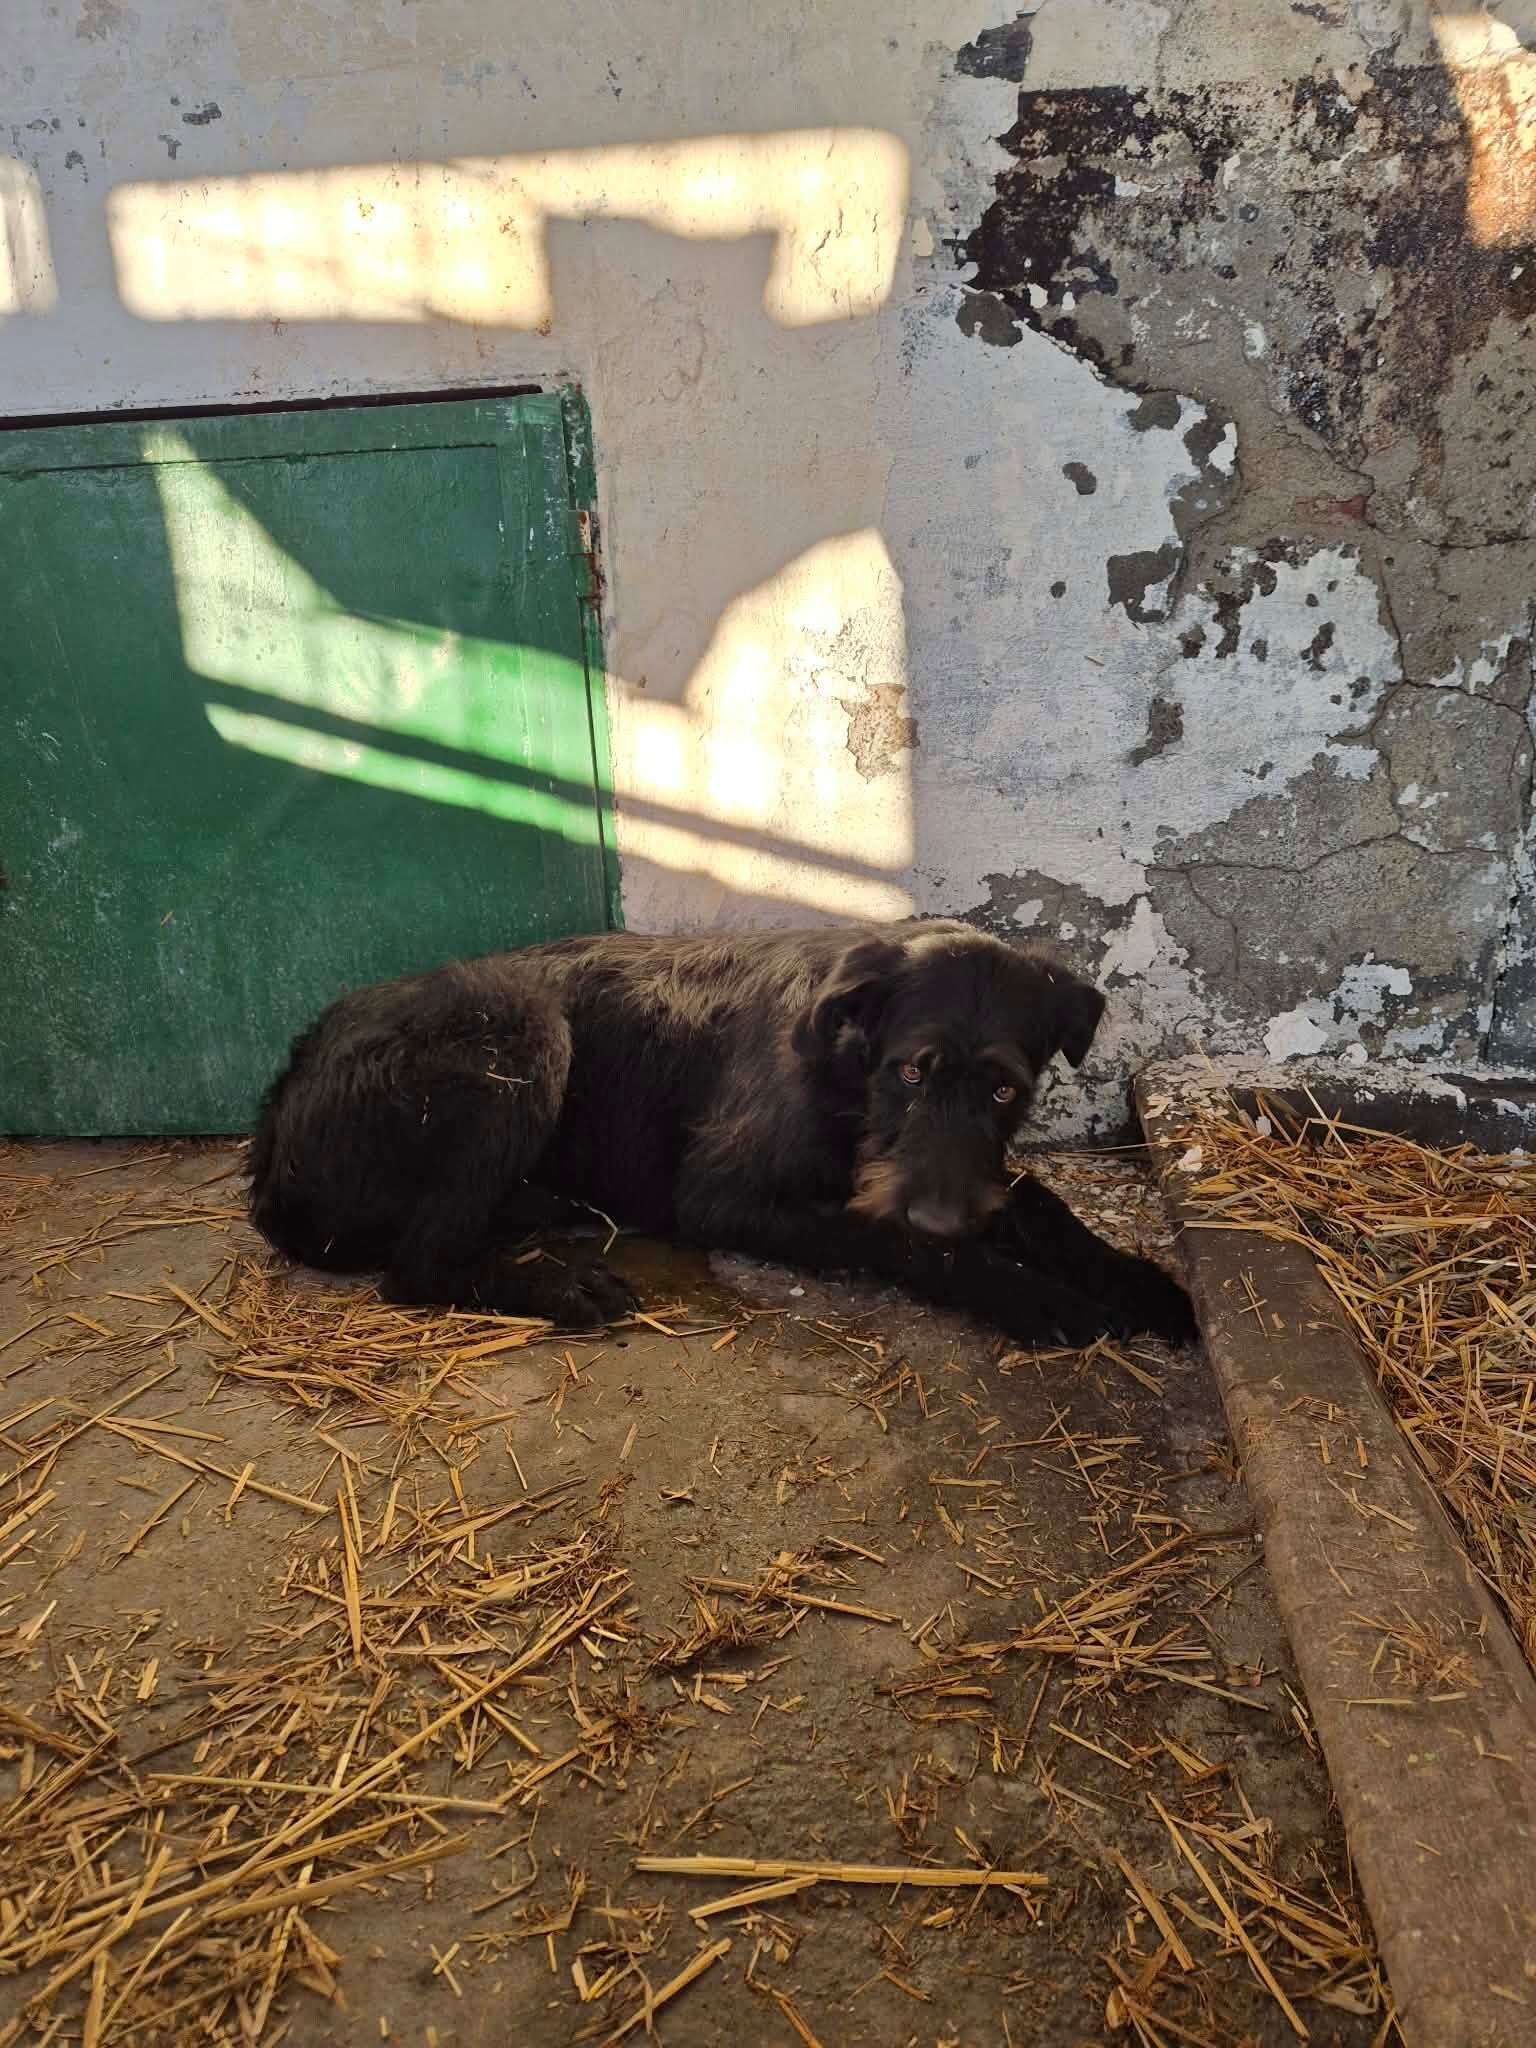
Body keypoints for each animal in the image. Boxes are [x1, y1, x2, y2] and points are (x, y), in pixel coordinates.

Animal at [247, 922, 1196, 1351]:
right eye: (910, 1072)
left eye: (1005, 1088)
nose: (943, 1215)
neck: (844, 1069)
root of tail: (272, 1126)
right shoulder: (727, 1197)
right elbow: (899, 1242)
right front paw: (1039, 1297)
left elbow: (1037, 1204)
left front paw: (1145, 1282)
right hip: (521, 1029)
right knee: (417, 1264)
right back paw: (558, 1285)